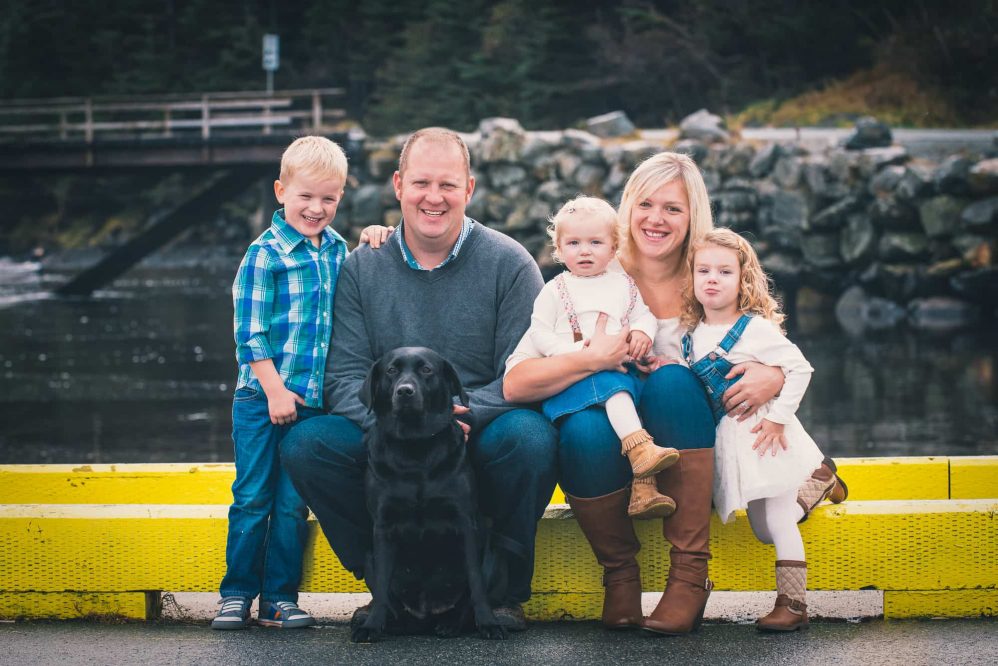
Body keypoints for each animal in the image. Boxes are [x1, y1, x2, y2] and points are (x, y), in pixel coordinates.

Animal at [354, 344, 508, 640]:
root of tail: (426, 615)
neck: (415, 448)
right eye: (391, 370)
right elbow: (382, 585)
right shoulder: (383, 526)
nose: (404, 391)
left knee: (466, 603)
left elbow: (475, 582)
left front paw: (488, 623)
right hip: (367, 556)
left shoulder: (465, 523)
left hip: (493, 556)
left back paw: (451, 624)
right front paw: (372, 627)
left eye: (426, 370)